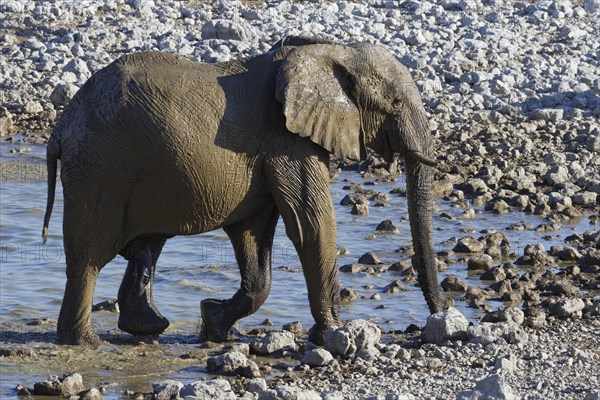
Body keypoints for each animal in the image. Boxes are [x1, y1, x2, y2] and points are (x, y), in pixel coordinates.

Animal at [42, 36, 440, 346]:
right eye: (396, 104)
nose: (431, 323)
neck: (333, 51)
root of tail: (61, 125)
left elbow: (253, 234)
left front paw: (213, 323)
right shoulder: (287, 139)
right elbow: (310, 223)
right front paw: (333, 334)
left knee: (145, 245)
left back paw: (146, 327)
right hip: (100, 168)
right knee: (89, 256)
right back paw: (85, 342)